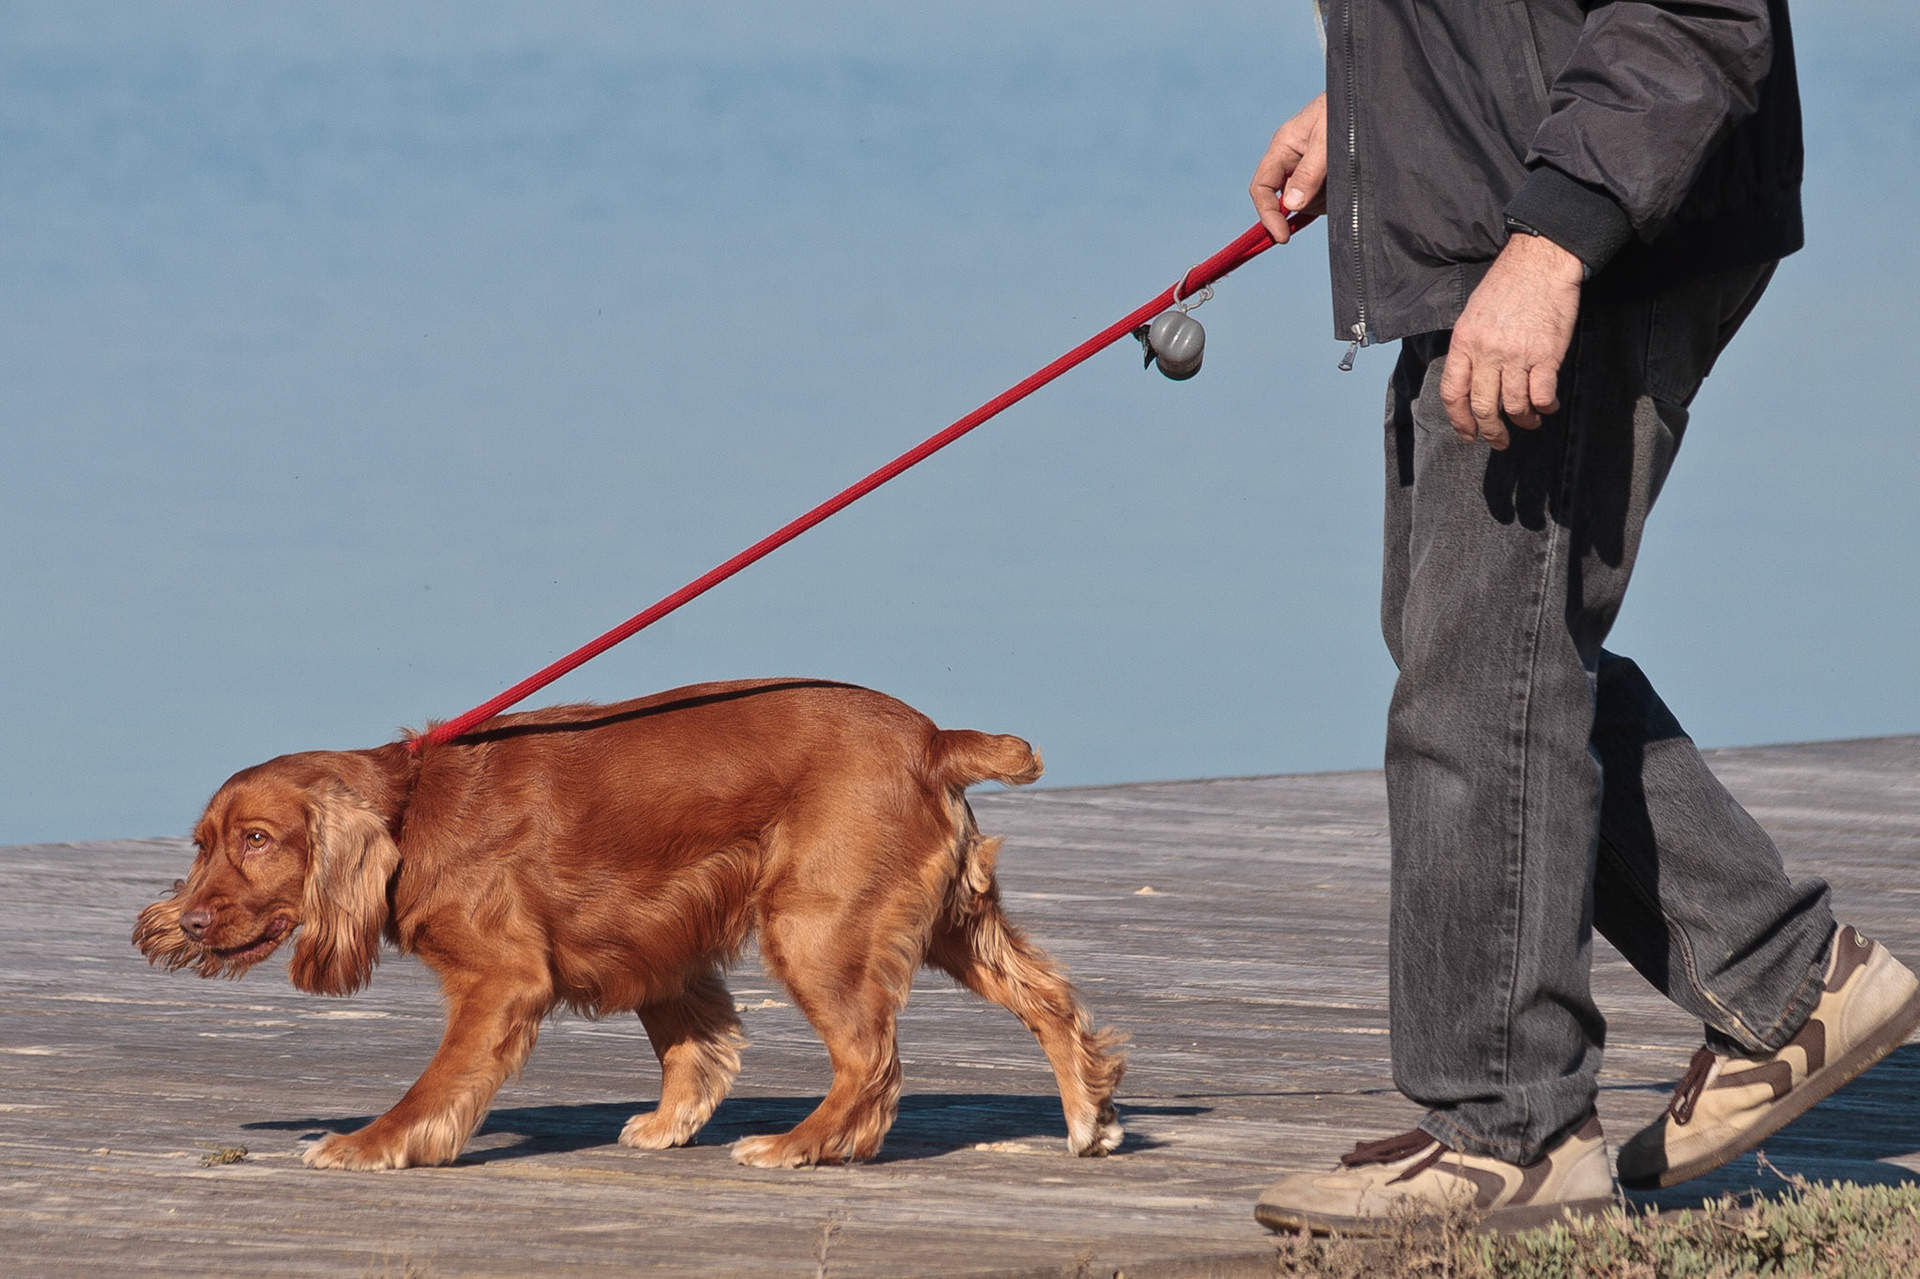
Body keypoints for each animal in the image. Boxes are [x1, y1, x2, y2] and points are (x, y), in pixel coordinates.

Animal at [133, 679, 1125, 1170]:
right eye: (203, 843)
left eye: (258, 839)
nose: (189, 919)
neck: (412, 810)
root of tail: (932, 738)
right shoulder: (660, 945)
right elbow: (696, 1048)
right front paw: (670, 1122)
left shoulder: (503, 979)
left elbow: (436, 1083)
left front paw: (372, 1145)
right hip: (958, 922)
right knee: (1053, 1003)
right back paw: (1089, 1120)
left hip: (814, 928)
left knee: (871, 1061)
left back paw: (802, 1145)